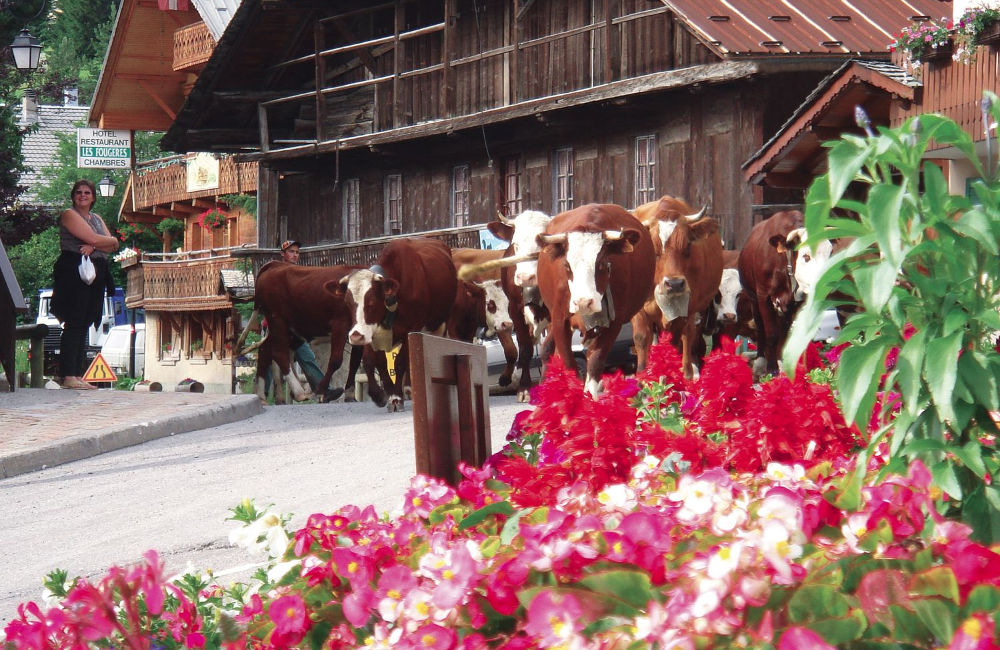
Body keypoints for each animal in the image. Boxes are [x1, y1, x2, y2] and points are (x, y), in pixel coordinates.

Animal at [254, 260, 364, 402]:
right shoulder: (340, 324)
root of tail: (275, 264)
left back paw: (265, 395)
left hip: (290, 330)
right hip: (277, 321)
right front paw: (322, 390)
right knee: (279, 353)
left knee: (265, 350)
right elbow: (336, 360)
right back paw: (298, 392)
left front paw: (350, 395)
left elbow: (355, 362)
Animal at [336, 237, 460, 410]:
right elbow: (373, 361)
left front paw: (396, 397)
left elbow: (400, 361)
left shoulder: (411, 328)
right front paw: (380, 394)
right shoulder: (371, 332)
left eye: (372, 302)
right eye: (348, 303)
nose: (355, 337)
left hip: (439, 323)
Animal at [536, 202, 660, 394]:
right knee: (548, 350)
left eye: (602, 264)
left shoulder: (614, 323)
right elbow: (568, 364)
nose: (584, 302)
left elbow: (595, 364)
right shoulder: (559, 320)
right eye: (567, 265)